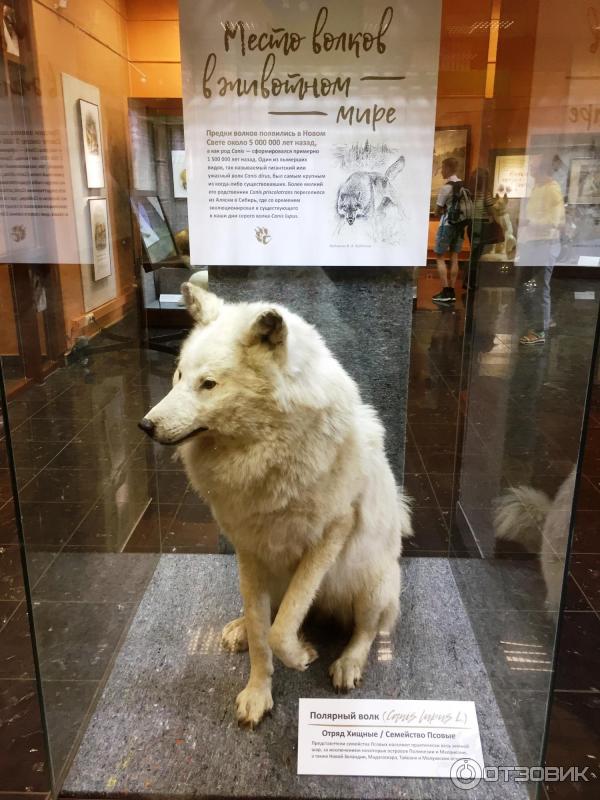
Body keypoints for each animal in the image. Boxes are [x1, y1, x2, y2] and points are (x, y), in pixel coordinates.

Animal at [140, 284, 412, 728]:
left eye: (208, 384)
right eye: (179, 376)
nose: (145, 425)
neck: (265, 457)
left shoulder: (330, 535)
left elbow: (281, 630)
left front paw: (300, 657)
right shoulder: (249, 549)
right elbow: (260, 631)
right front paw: (257, 693)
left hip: (372, 585)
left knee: (367, 631)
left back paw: (348, 664)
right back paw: (237, 628)